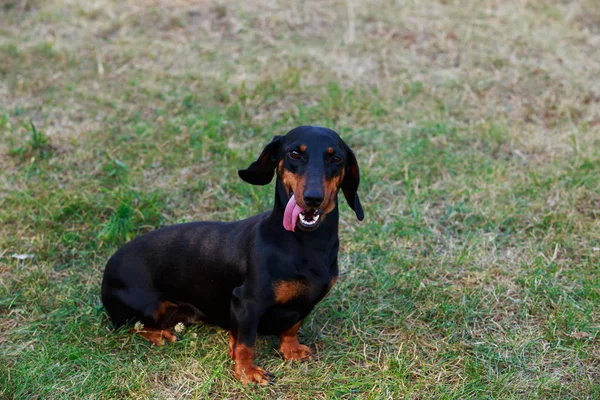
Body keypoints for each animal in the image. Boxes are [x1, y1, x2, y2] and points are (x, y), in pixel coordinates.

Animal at [101, 125, 364, 384]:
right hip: (147, 307)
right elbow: (246, 342)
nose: (313, 198)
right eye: (294, 154)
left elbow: (292, 327)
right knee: (132, 325)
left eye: (336, 158)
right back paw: (159, 335)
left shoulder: (305, 304)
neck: (305, 244)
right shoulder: (246, 303)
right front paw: (247, 371)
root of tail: (107, 270)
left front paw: (291, 350)